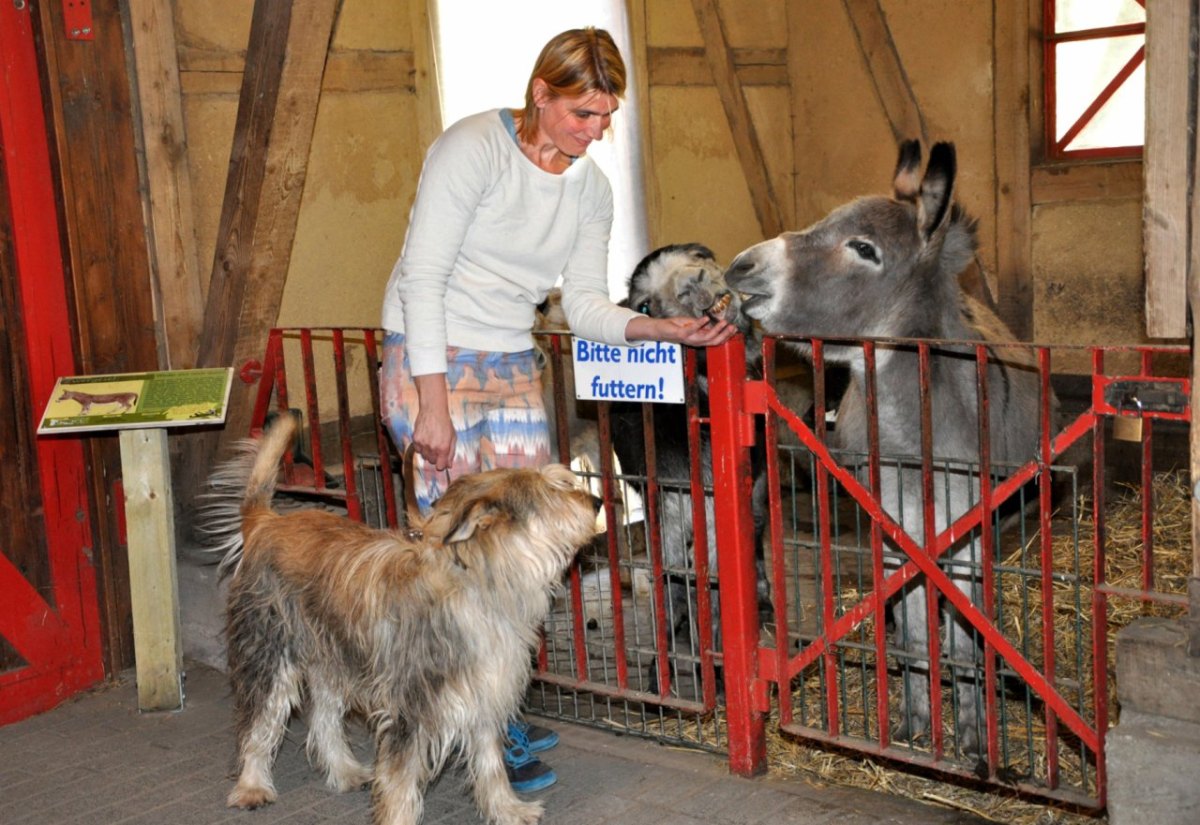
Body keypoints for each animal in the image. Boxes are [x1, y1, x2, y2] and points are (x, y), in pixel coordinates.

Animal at [205, 419, 604, 825]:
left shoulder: (483, 691)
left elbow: (490, 763)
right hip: (269, 656)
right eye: (552, 491)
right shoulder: (409, 708)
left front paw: (506, 809)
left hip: (333, 657)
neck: (474, 583)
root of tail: (266, 522)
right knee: (259, 723)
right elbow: (400, 782)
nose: (598, 502)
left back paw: (344, 771)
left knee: (325, 718)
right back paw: (252, 785)